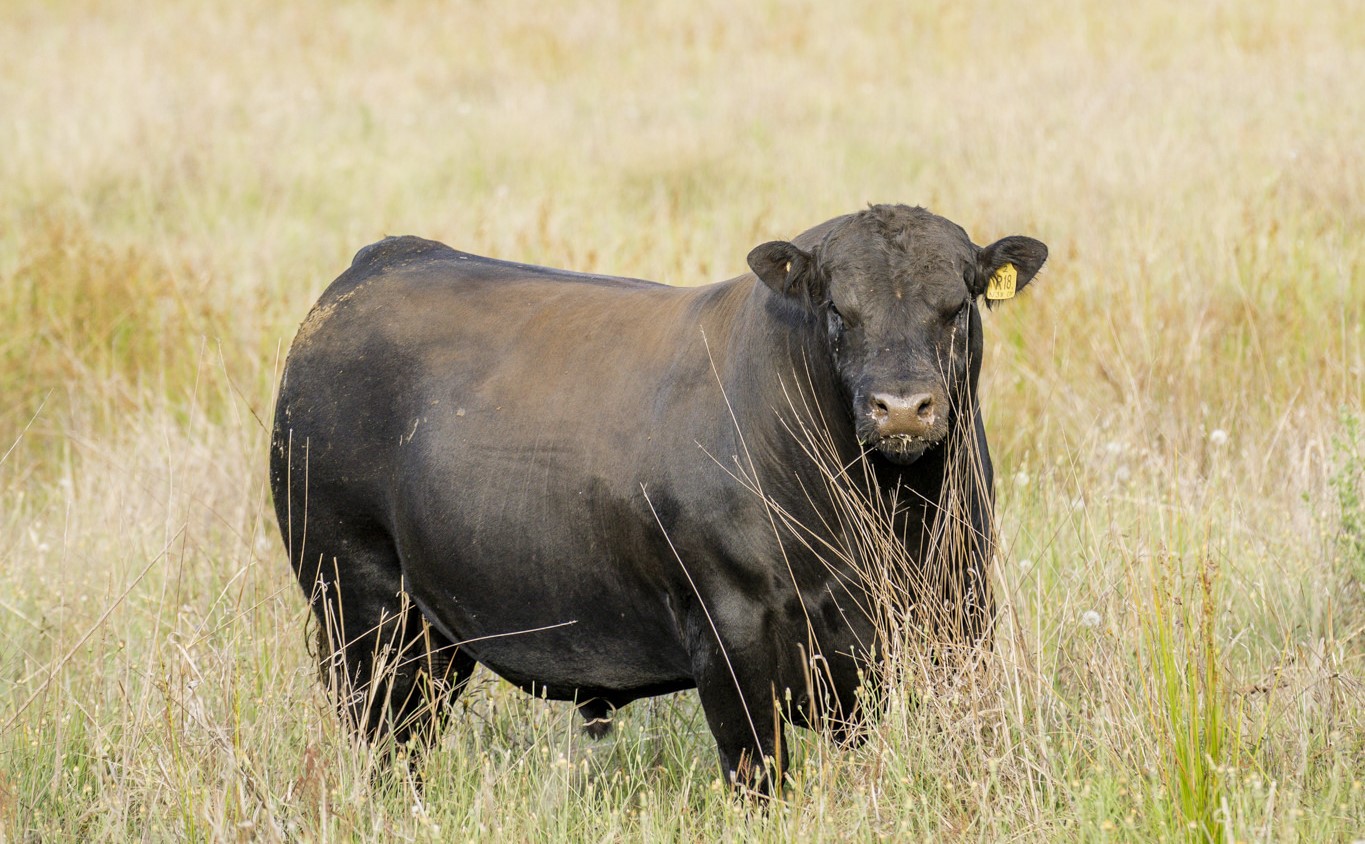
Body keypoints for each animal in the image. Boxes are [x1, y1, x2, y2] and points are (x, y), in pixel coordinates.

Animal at [271, 202, 1048, 786]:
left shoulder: (956, 607)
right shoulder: (730, 627)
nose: (903, 408)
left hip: (431, 632)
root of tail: (387, 260)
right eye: (836, 308)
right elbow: (758, 772)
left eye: (957, 305)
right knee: (384, 739)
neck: (886, 506)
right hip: (358, 602)